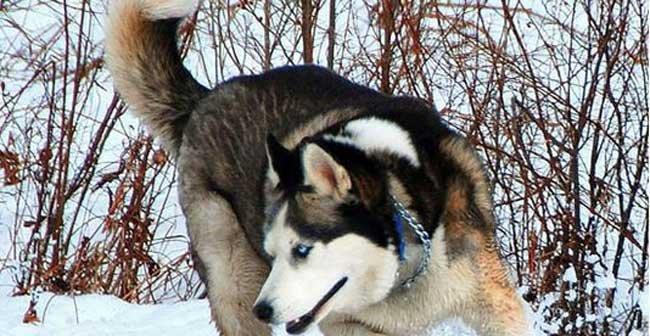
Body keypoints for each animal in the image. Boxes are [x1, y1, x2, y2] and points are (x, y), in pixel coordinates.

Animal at [105, 0, 528, 336]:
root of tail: (206, 99)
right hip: (232, 273)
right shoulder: (346, 323)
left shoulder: (493, 302)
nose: (265, 310)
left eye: (303, 250)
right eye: (273, 252)